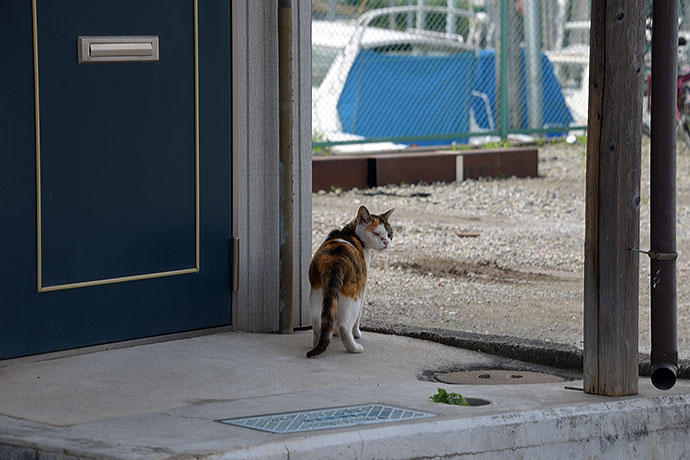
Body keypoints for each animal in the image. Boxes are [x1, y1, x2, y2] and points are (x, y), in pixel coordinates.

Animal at [306, 206, 392, 360]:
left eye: (389, 234)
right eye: (377, 234)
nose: (386, 242)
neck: (349, 232)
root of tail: (334, 262)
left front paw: (332, 333)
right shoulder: (363, 288)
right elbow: (357, 319)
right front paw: (357, 334)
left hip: (316, 294)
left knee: (317, 323)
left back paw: (317, 343)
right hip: (352, 298)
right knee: (345, 326)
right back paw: (354, 348)